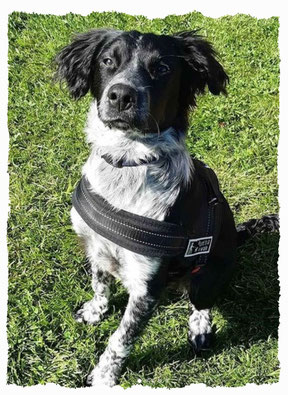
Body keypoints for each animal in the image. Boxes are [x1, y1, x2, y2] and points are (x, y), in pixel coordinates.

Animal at [54, 28, 280, 386]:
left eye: (161, 69)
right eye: (108, 61)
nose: (121, 95)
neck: (127, 163)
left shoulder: (146, 286)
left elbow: (121, 339)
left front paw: (103, 377)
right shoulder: (96, 247)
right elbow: (100, 284)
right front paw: (95, 311)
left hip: (208, 274)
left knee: (202, 301)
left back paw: (200, 328)